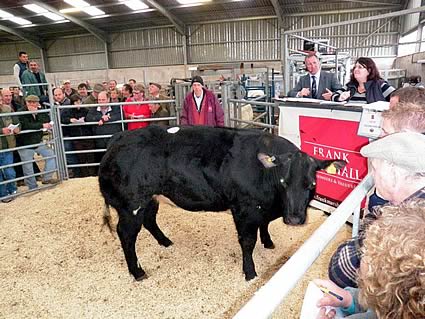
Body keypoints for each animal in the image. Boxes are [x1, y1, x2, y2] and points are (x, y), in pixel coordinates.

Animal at [99, 126, 344, 282]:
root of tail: (120, 136)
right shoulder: (244, 209)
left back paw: (166, 242)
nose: (294, 218)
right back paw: (137, 271)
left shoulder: (261, 208)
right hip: (131, 205)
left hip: (150, 199)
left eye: (311, 184)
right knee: (127, 235)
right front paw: (250, 273)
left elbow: (264, 226)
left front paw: (268, 242)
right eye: (284, 182)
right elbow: (247, 242)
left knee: (150, 220)